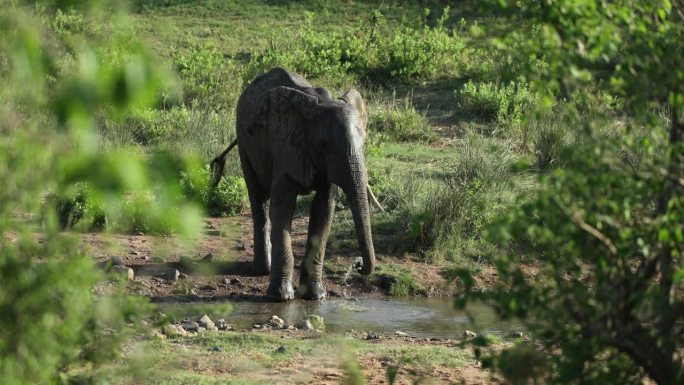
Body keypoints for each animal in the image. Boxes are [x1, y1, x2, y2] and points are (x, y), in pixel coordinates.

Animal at [211, 68, 382, 300]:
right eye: (324, 146)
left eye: (364, 143)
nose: (357, 266)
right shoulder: (285, 147)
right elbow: (282, 207)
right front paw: (282, 297)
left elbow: (324, 210)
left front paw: (316, 296)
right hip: (244, 141)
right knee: (258, 198)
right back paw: (262, 269)